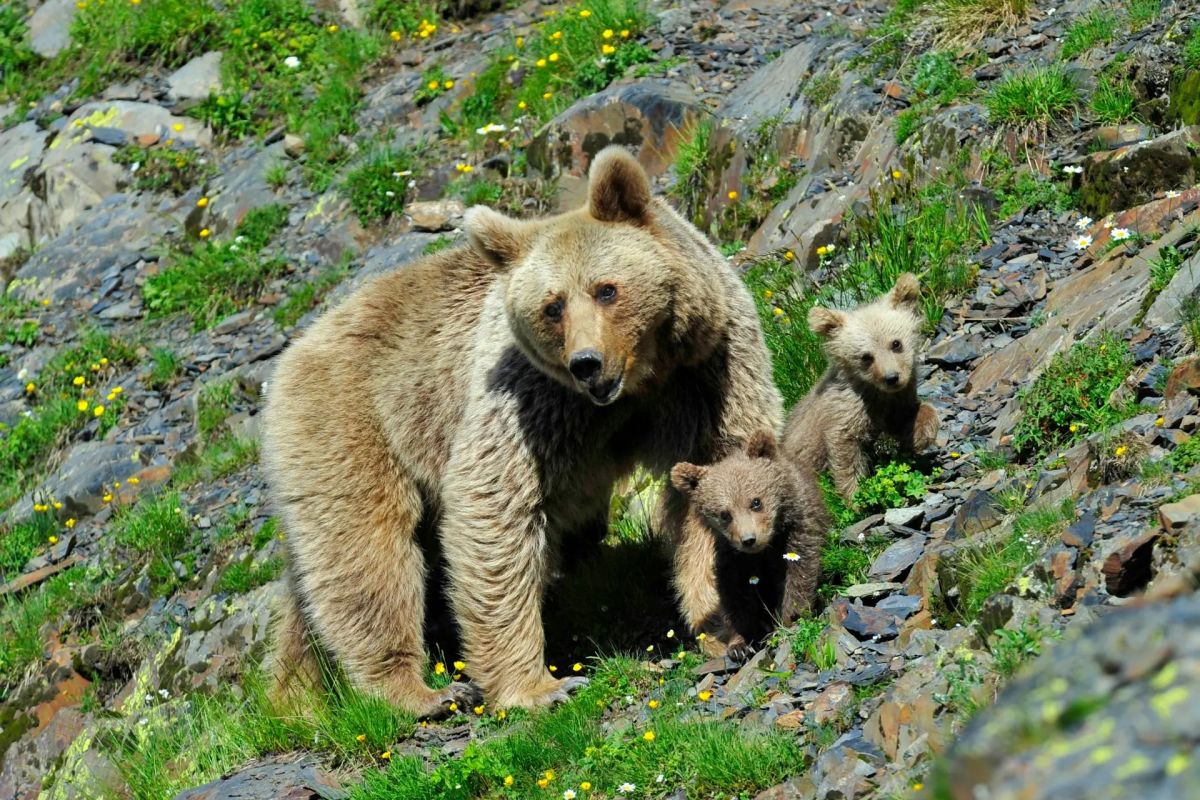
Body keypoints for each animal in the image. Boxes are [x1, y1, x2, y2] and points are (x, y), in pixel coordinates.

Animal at [261, 146, 783, 716]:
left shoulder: (708, 373)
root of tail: (295, 350)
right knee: (367, 554)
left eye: (606, 289)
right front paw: (539, 686)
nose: (587, 363)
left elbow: (714, 477)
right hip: (355, 423)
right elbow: (494, 508)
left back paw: (296, 695)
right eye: (552, 305)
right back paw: (416, 690)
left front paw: (729, 627)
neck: (640, 383)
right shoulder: (530, 403)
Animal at [670, 430, 825, 658]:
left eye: (756, 502)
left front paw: (787, 621)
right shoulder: (730, 558)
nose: (749, 540)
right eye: (724, 514)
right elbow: (734, 597)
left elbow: (798, 575)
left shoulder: (798, 529)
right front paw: (740, 644)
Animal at [781, 273, 939, 505]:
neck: (875, 391)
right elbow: (845, 451)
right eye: (866, 357)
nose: (892, 378)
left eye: (896, 343)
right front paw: (856, 497)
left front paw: (920, 435)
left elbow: (908, 415)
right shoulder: (846, 410)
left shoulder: (892, 402)